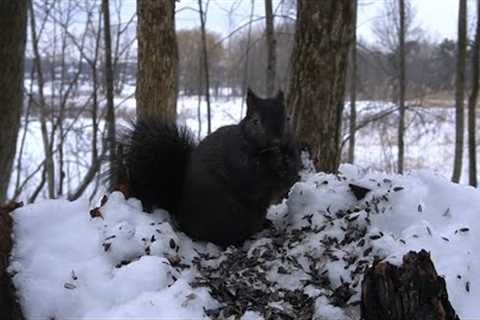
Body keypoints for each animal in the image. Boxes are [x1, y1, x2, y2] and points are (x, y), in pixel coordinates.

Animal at [117, 89, 300, 246]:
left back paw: (265, 224)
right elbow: (251, 178)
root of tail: (181, 214)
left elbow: (290, 177)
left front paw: (285, 161)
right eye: (256, 121)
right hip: (227, 214)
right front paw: (274, 159)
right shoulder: (237, 159)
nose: (276, 141)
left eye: (288, 118)